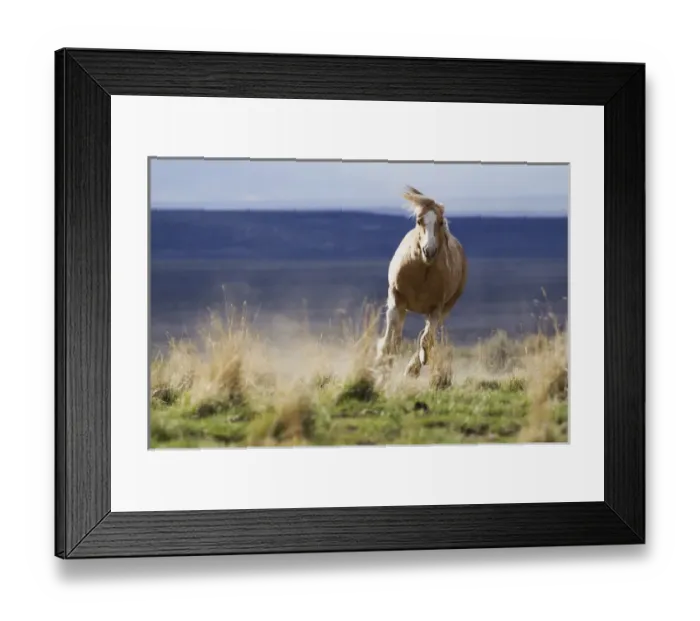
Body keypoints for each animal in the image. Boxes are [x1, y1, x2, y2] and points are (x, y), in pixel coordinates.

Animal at [376, 186, 468, 377]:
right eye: (419, 221)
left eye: (440, 222)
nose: (429, 251)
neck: (423, 273)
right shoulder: (396, 298)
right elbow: (390, 340)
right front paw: (382, 363)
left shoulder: (436, 308)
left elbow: (426, 340)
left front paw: (414, 367)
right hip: (402, 307)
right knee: (395, 336)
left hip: (445, 309)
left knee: (426, 337)